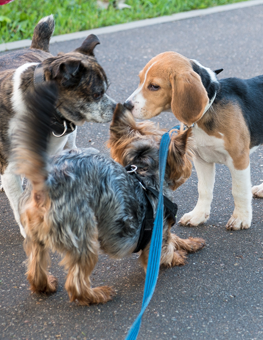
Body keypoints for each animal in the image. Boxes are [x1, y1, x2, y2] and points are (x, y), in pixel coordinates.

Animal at [125, 51, 263, 231]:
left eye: (154, 86)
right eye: (140, 80)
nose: (126, 105)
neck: (209, 107)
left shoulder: (238, 159)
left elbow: (239, 191)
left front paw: (240, 218)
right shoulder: (201, 159)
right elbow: (203, 190)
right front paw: (198, 215)